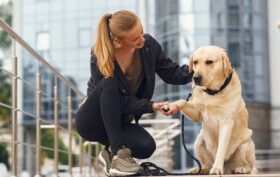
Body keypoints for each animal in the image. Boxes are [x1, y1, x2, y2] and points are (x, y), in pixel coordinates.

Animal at [164, 45, 258, 174]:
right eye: (195, 62)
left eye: (209, 62)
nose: (196, 77)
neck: (213, 92)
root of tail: (227, 168)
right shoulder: (197, 113)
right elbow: (182, 101)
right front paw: (171, 106)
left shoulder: (226, 122)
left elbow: (221, 149)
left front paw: (217, 168)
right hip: (199, 141)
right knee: (205, 165)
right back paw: (199, 170)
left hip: (246, 144)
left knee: (249, 165)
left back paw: (241, 168)